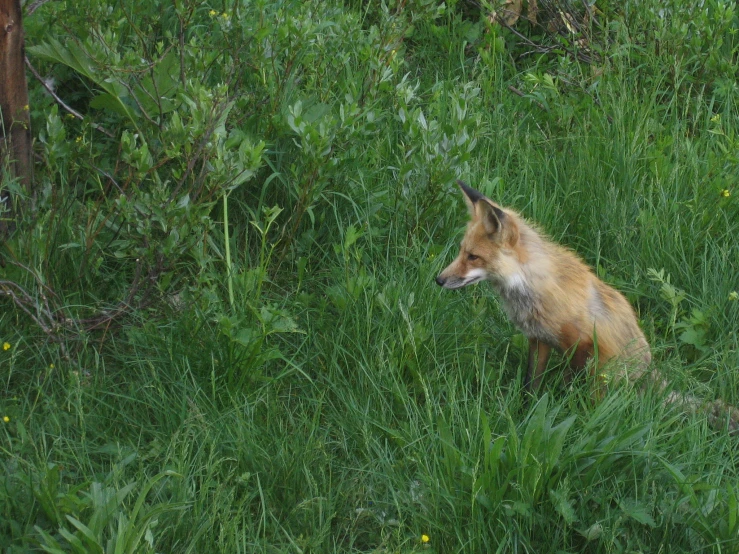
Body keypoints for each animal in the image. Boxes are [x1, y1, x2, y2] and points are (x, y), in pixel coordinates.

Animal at [436, 181, 739, 432]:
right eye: (461, 252)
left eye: (473, 257)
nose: (438, 280)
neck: (531, 287)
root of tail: (649, 372)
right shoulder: (538, 339)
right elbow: (531, 384)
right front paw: (527, 412)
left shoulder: (585, 348)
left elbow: (579, 393)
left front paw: (578, 419)